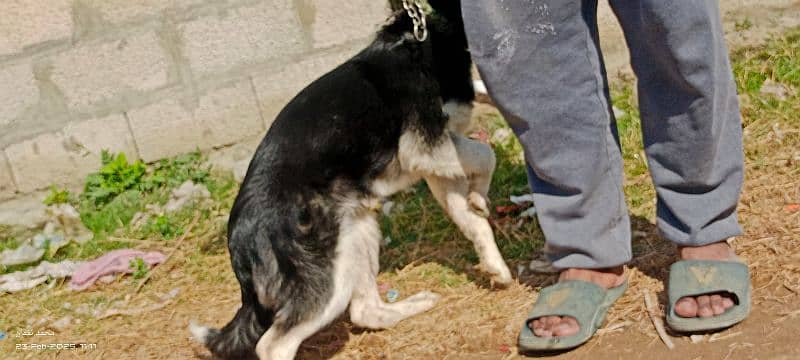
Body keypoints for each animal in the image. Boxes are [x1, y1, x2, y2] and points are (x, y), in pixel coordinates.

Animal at [190, 1, 510, 358]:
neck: (426, 38)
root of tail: (238, 237)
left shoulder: (436, 163)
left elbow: (472, 219)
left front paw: (494, 261)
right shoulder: (426, 147)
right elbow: (485, 153)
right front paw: (480, 197)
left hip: (355, 234)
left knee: (365, 312)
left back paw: (414, 304)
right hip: (326, 278)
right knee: (274, 344)